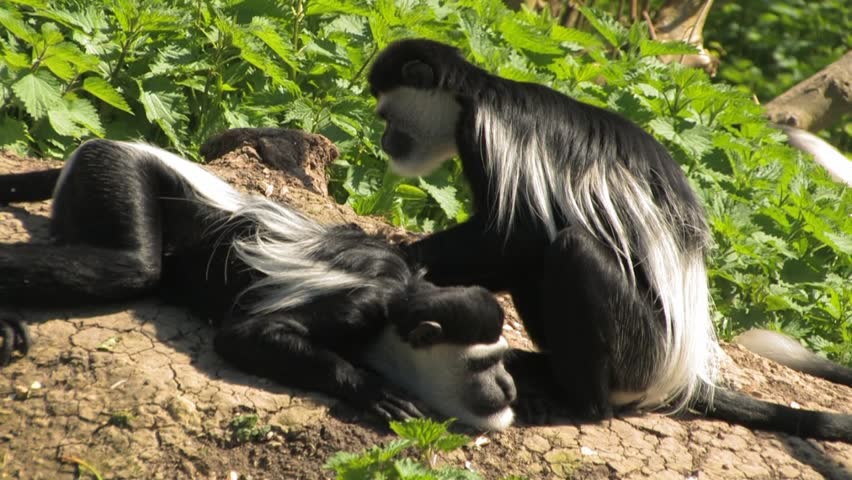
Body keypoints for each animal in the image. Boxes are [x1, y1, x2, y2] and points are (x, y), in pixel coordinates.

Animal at [0, 139, 516, 431]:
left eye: (502, 360)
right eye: (484, 364)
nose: (509, 388)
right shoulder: (360, 307)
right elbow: (245, 336)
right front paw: (371, 390)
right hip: (119, 176)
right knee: (133, 266)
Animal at [367, 38, 852, 442]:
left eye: (387, 116)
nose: (386, 141)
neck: (476, 95)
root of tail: (679, 373)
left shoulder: (494, 137)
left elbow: (514, 236)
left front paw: (405, 253)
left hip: (638, 351)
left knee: (569, 249)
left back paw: (576, 401)